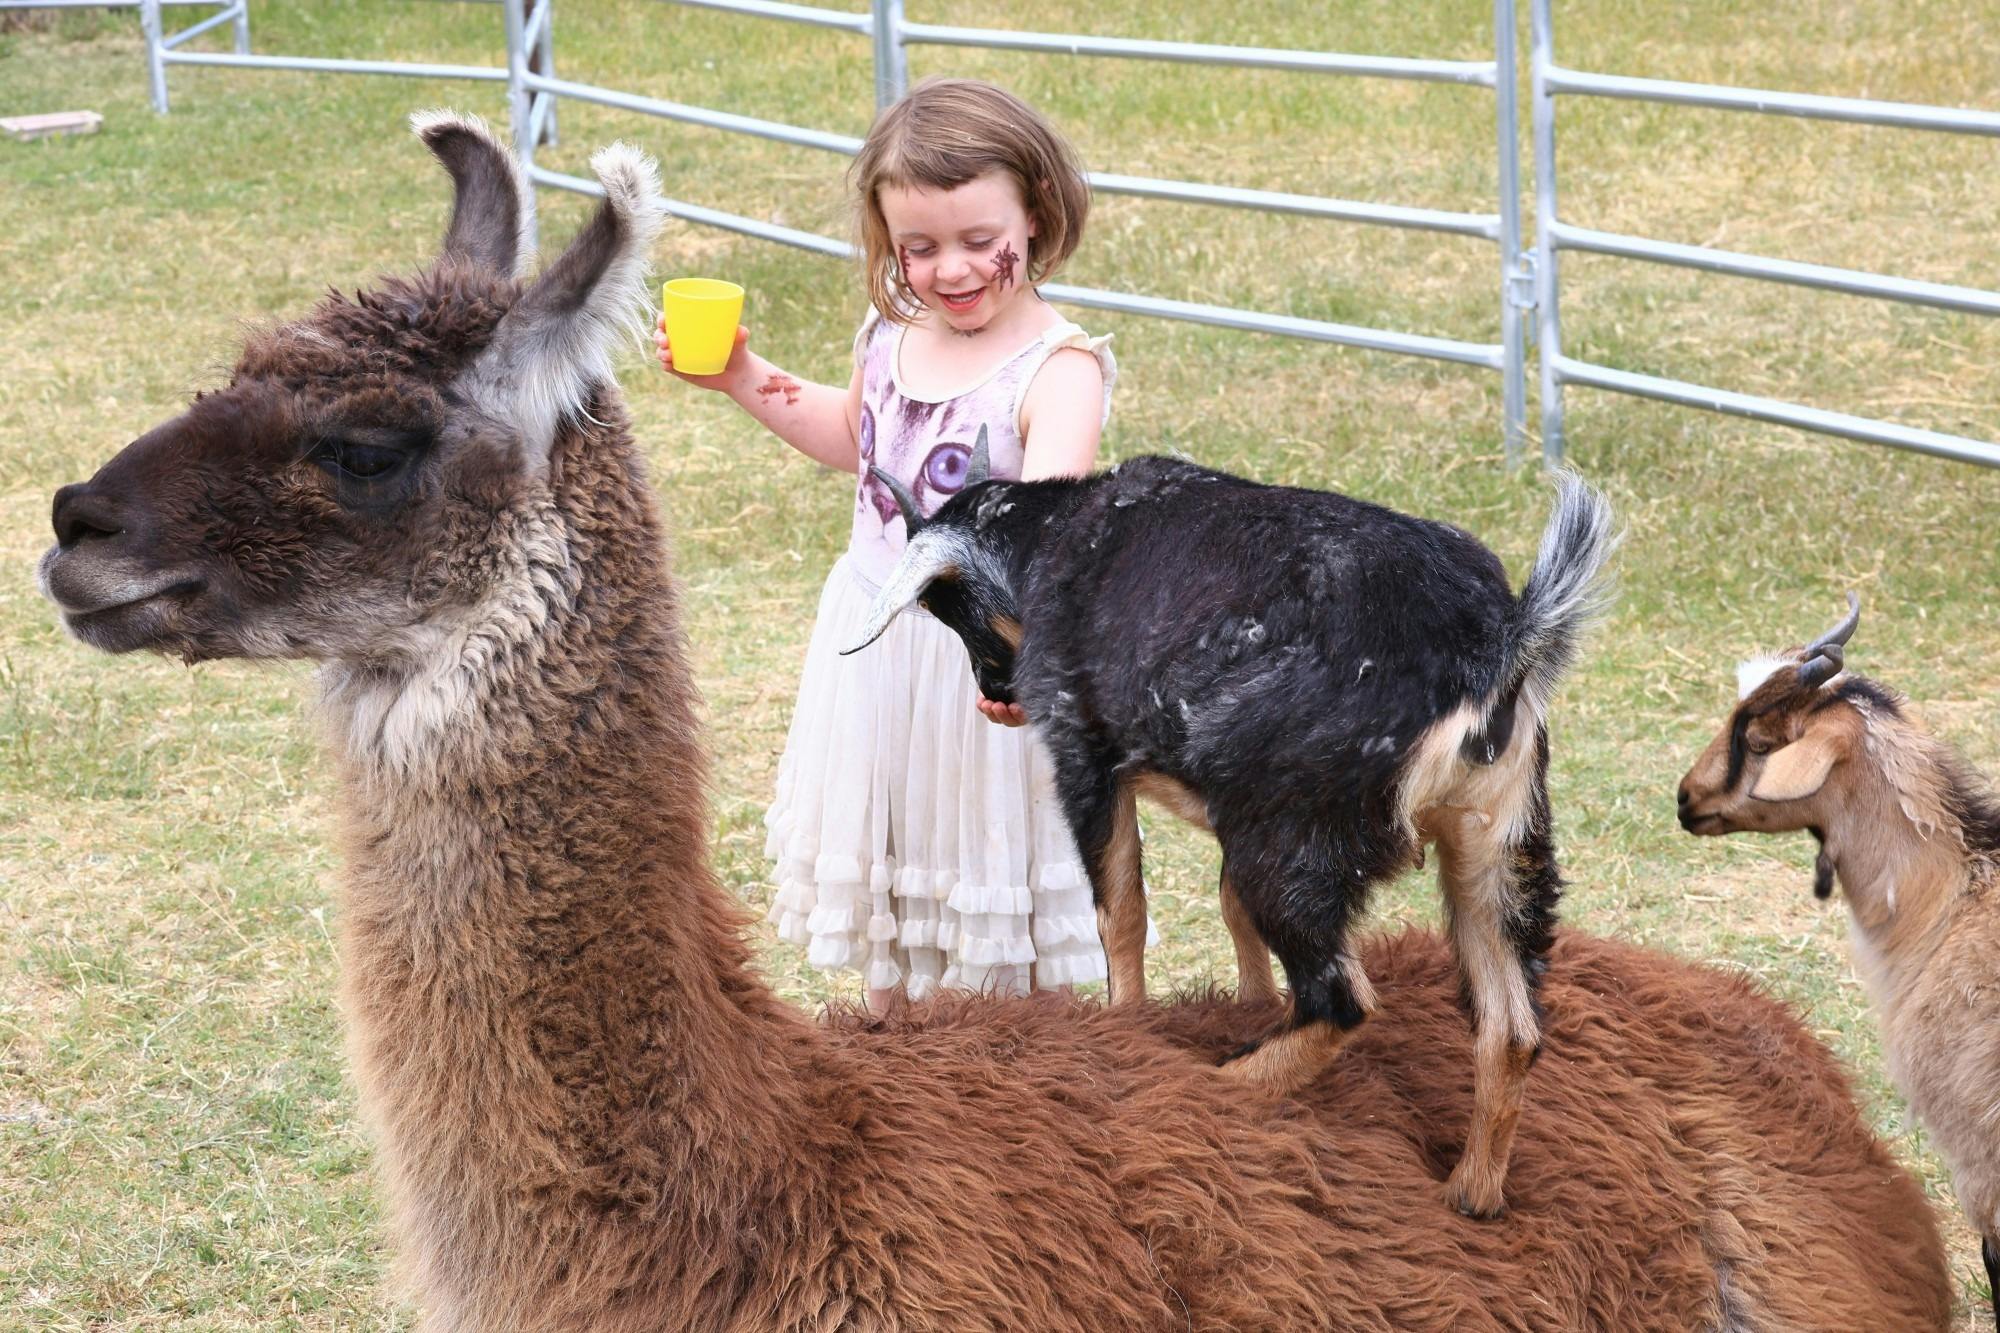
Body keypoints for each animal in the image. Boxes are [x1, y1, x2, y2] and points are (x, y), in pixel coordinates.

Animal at [846, 448, 1614, 1217]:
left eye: (950, 610)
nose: (995, 691)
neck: (1057, 536)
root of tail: (1498, 649)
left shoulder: (1086, 756)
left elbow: (1120, 910)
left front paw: (1129, 1026)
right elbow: (1227, 908)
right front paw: (1250, 1002)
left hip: (1292, 842)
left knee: (1341, 1001)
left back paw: (1219, 1085)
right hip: (1494, 845)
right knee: (1510, 1028)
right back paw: (1471, 1193)